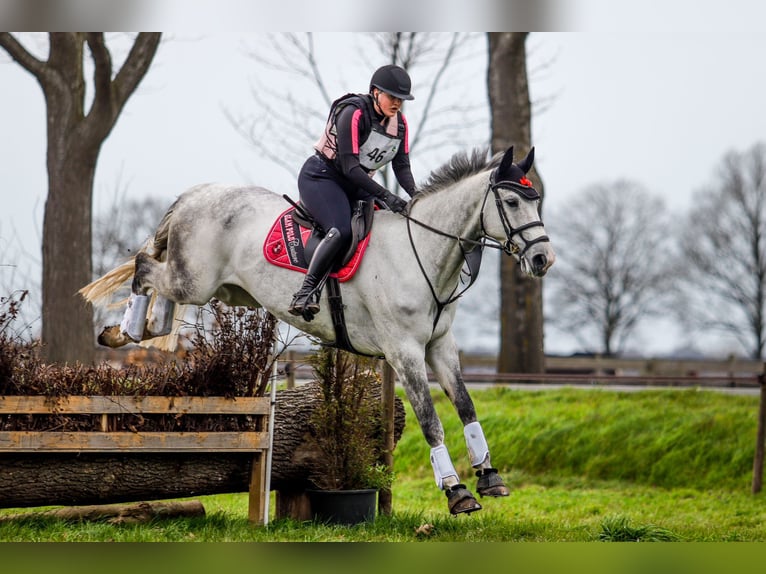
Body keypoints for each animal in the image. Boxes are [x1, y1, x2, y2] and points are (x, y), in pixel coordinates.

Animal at [81, 146, 556, 516]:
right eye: (512, 202)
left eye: (537, 202)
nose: (543, 260)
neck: (422, 251)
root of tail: (195, 194)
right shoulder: (403, 351)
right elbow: (431, 420)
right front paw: (457, 492)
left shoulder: (440, 346)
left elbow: (466, 406)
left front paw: (490, 477)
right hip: (194, 280)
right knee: (146, 267)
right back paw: (117, 333)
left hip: (211, 287)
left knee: (160, 298)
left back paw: (126, 333)